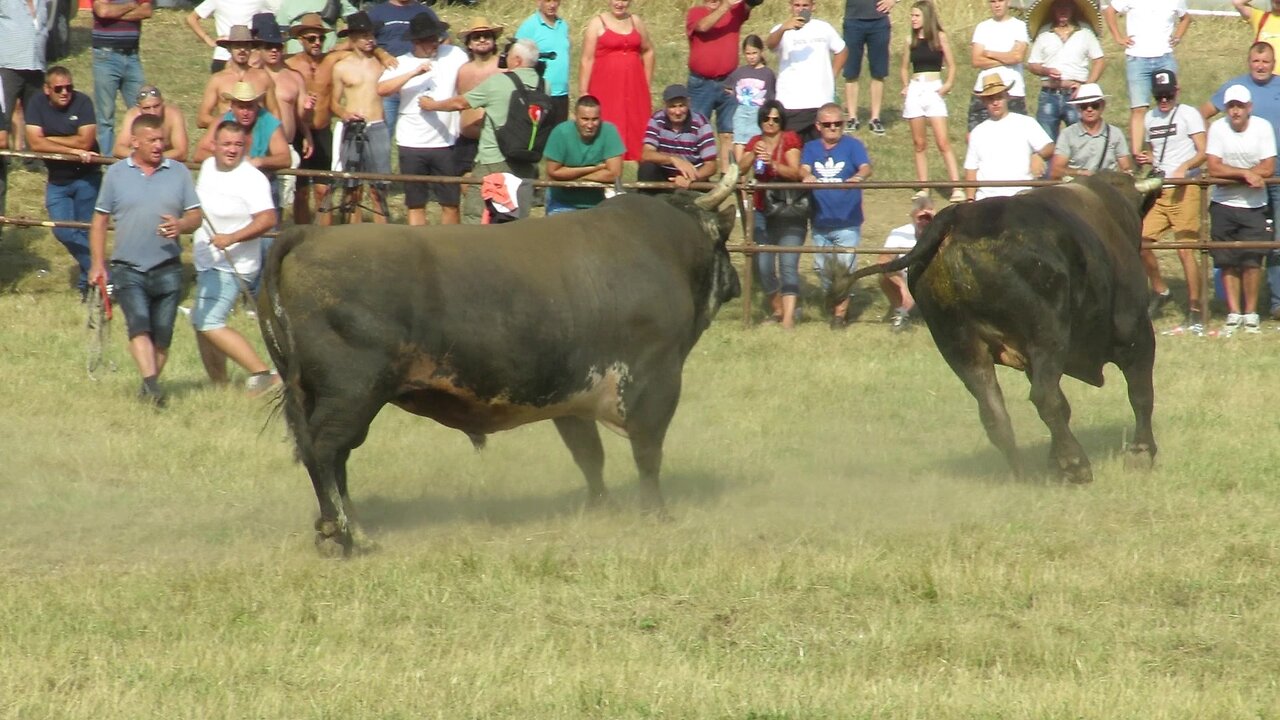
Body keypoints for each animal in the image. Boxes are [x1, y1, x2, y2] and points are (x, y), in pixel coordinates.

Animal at [257, 170, 742, 550]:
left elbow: (590, 456)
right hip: (352, 393)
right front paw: (656, 513)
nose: (736, 283)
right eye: (722, 242)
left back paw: (353, 527)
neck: (664, 250)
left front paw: (601, 506)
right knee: (326, 449)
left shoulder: (571, 398)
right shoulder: (655, 381)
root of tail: (310, 233)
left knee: (331, 455)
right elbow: (648, 452)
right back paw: (340, 533)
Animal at [844, 170, 1167, 479]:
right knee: (1044, 397)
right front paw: (1141, 452)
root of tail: (958, 218)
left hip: (961, 347)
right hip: (1048, 336)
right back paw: (1075, 465)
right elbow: (1140, 395)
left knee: (993, 412)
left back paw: (1022, 472)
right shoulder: (1136, 335)